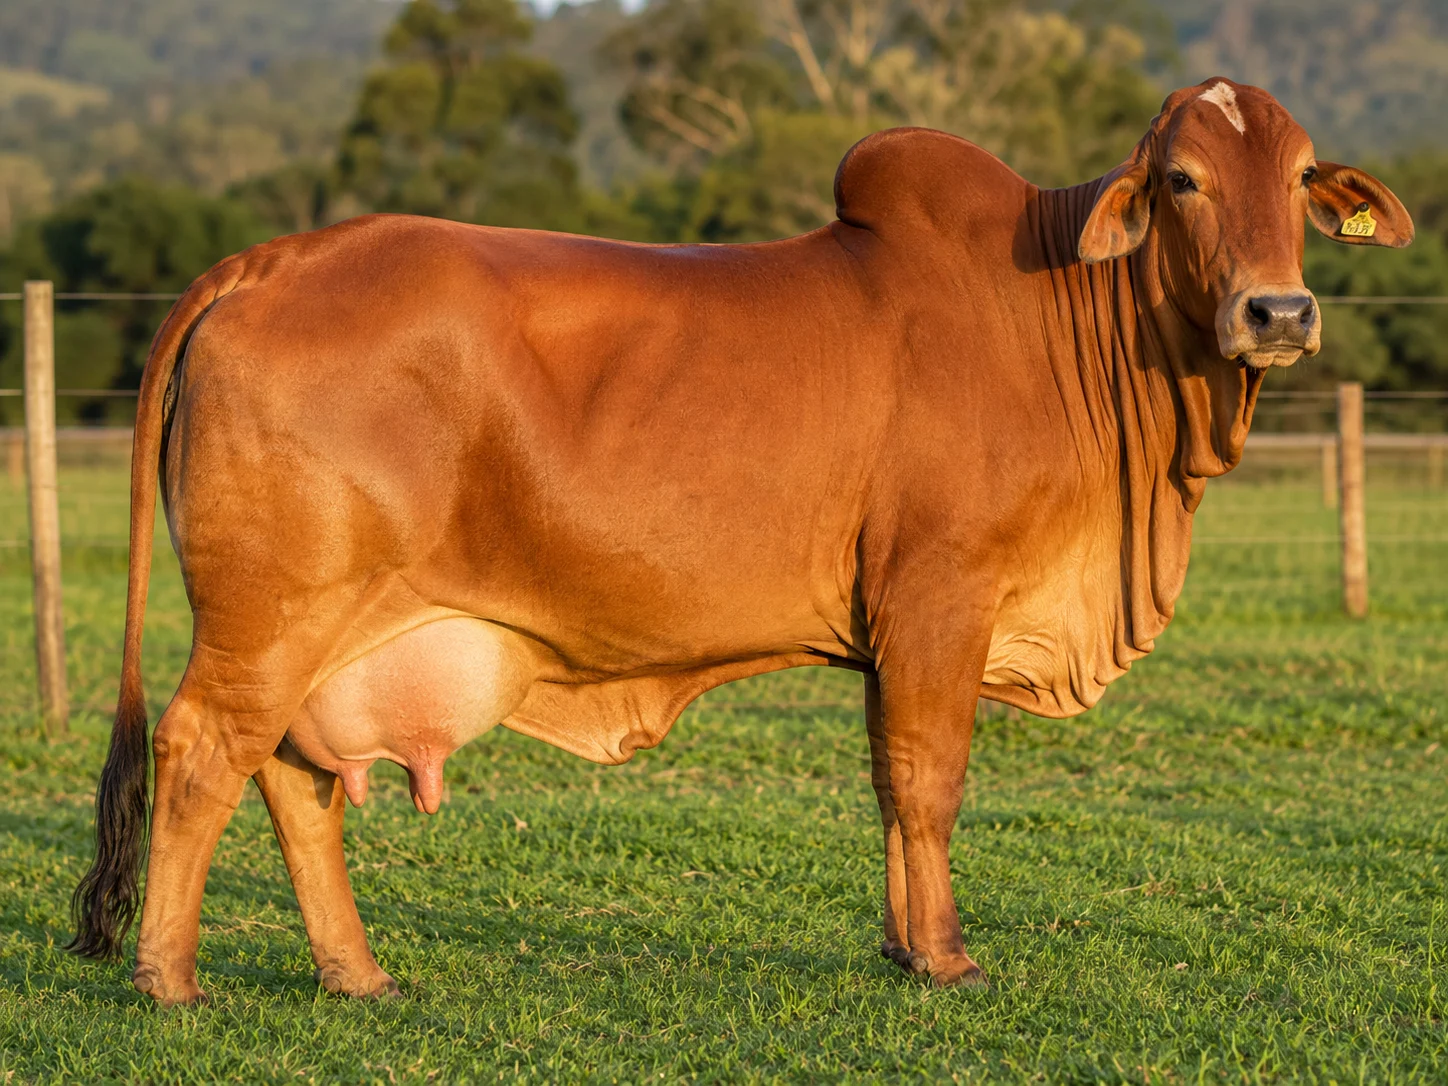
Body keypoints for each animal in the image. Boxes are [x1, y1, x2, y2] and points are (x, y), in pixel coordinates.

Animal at [68, 79, 1412, 1005]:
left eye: (1300, 177)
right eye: (1181, 179)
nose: (1277, 312)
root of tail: (268, 260)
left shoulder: (890, 627)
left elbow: (885, 783)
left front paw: (897, 946)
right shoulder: (940, 597)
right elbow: (929, 780)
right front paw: (945, 959)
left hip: (324, 632)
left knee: (292, 777)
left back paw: (356, 974)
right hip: (271, 614)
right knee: (202, 750)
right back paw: (168, 980)